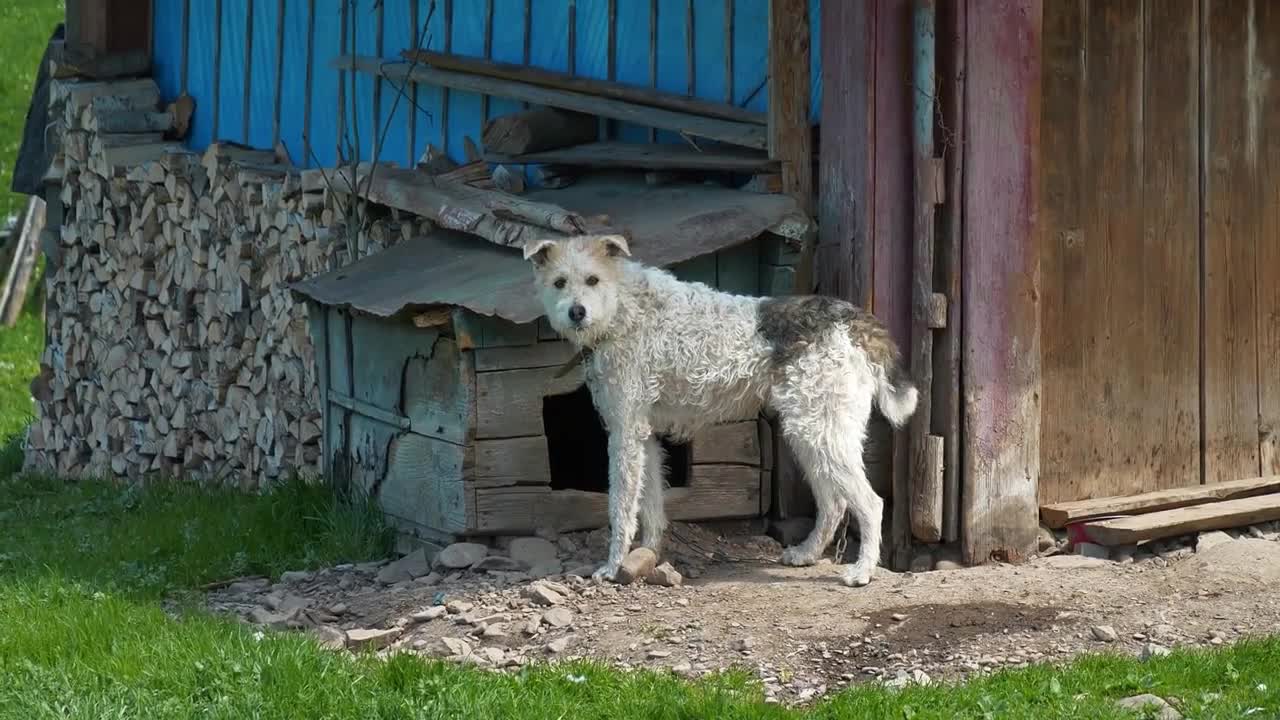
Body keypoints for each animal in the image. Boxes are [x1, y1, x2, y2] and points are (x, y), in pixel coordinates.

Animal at [524, 233, 916, 586]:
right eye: (559, 282)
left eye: (593, 279)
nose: (577, 312)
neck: (623, 309)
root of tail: (850, 319)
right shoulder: (643, 435)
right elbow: (651, 505)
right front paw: (649, 552)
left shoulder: (624, 435)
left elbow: (621, 507)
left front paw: (613, 564)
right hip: (810, 435)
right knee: (834, 503)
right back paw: (806, 553)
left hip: (820, 434)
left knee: (871, 504)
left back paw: (862, 571)